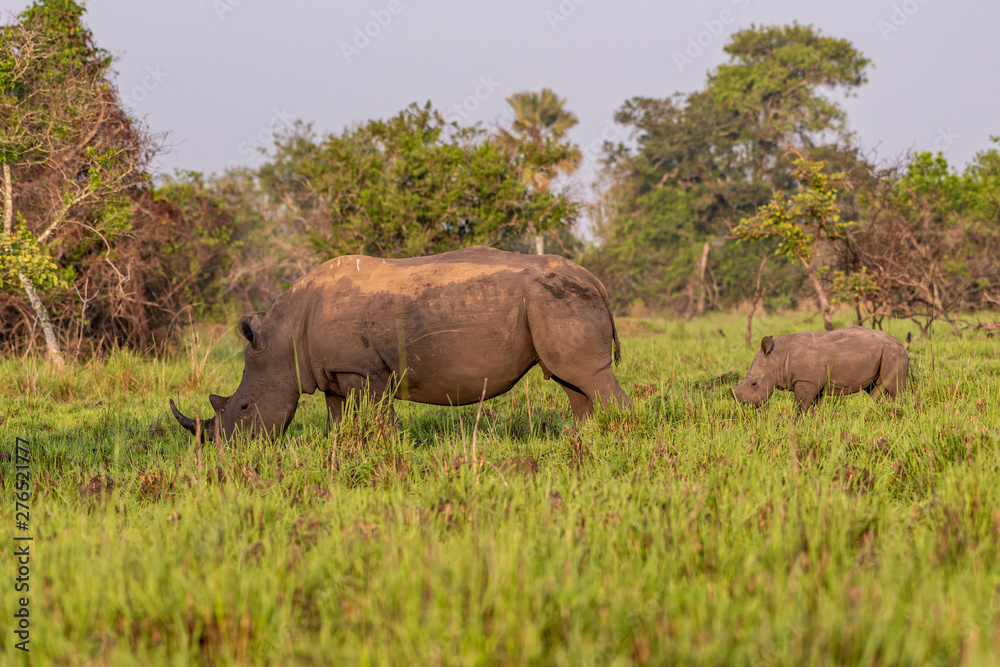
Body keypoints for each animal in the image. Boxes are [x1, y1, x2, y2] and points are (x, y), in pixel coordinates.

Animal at [170, 246, 632, 439]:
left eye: (245, 408)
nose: (229, 451)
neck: (283, 342)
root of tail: (595, 280)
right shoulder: (332, 372)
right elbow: (337, 418)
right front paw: (337, 449)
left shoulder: (361, 369)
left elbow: (377, 416)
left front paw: (388, 451)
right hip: (555, 302)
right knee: (571, 381)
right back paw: (581, 438)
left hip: (561, 298)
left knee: (587, 376)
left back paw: (618, 436)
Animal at [732, 326, 909, 411]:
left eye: (754, 383)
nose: (744, 405)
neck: (777, 357)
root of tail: (901, 343)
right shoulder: (813, 382)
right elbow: (812, 406)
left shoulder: (806, 380)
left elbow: (800, 406)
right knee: (875, 391)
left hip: (893, 353)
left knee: (895, 388)